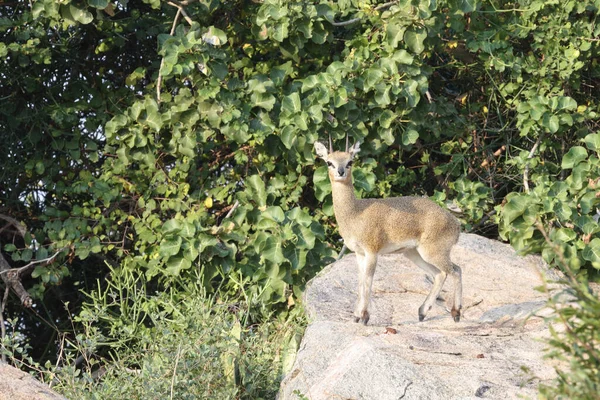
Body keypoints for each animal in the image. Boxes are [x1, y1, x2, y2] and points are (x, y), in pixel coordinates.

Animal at [314, 138, 464, 324]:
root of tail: (456, 224)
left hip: (433, 253)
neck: (355, 213)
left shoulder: (372, 251)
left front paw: (364, 316)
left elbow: (368, 281)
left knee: (456, 271)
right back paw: (422, 312)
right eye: (329, 162)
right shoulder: (359, 253)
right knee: (441, 274)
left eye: (350, 161)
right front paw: (356, 316)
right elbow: (360, 281)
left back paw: (456, 314)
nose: (341, 172)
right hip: (413, 253)